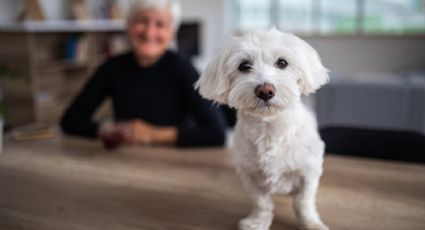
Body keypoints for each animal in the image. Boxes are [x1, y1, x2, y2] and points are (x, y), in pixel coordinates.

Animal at [194, 28, 330, 230]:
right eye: (244, 66)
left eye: (282, 62)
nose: (265, 90)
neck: (269, 129)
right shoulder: (250, 175)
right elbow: (261, 202)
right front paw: (257, 222)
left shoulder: (308, 172)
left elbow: (303, 202)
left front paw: (311, 223)